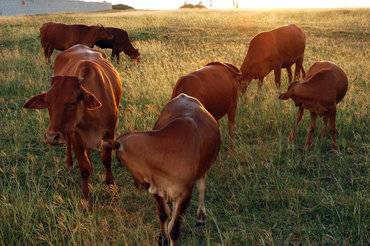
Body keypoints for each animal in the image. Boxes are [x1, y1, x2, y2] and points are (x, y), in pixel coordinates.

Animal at [23, 44, 122, 209]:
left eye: (73, 102)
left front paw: (111, 186)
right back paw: (69, 162)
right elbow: (84, 168)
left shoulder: (110, 131)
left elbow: (106, 160)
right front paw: (86, 199)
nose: (51, 137)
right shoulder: (75, 134)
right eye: (47, 102)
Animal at [104, 93, 220, 246]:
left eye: (118, 159)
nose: (138, 184)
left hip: (203, 169)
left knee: (201, 186)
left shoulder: (185, 193)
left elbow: (175, 228)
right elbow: (164, 214)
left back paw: (201, 217)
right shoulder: (156, 186)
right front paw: (162, 239)